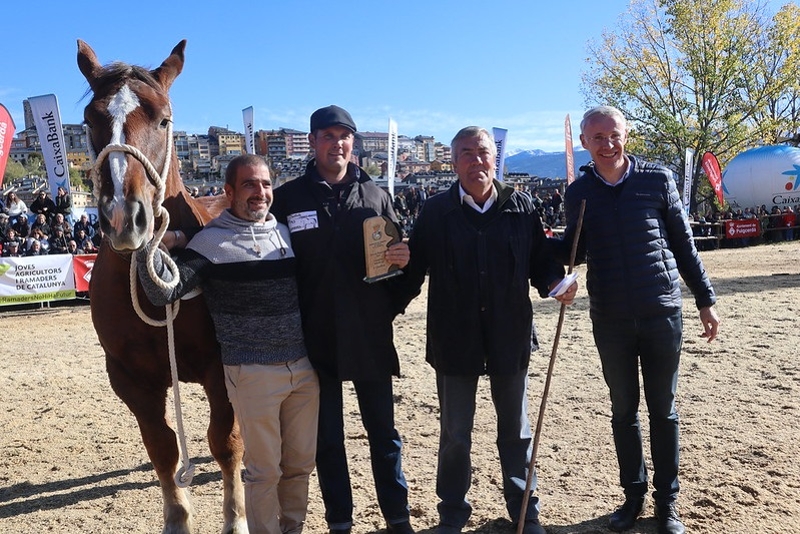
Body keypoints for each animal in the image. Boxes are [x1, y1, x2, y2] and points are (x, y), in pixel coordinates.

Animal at [79, 38, 247, 534]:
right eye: (89, 121)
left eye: (165, 119)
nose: (123, 215)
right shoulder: (130, 378)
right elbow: (162, 448)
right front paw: (177, 516)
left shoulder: (221, 366)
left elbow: (225, 441)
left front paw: (236, 517)